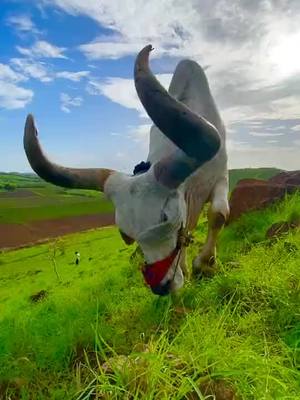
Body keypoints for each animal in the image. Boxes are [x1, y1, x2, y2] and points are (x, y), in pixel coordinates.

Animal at [24, 45, 230, 296]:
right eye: (127, 231)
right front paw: (186, 271)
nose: (161, 286)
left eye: (165, 217)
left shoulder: (221, 175)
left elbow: (218, 214)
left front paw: (205, 264)